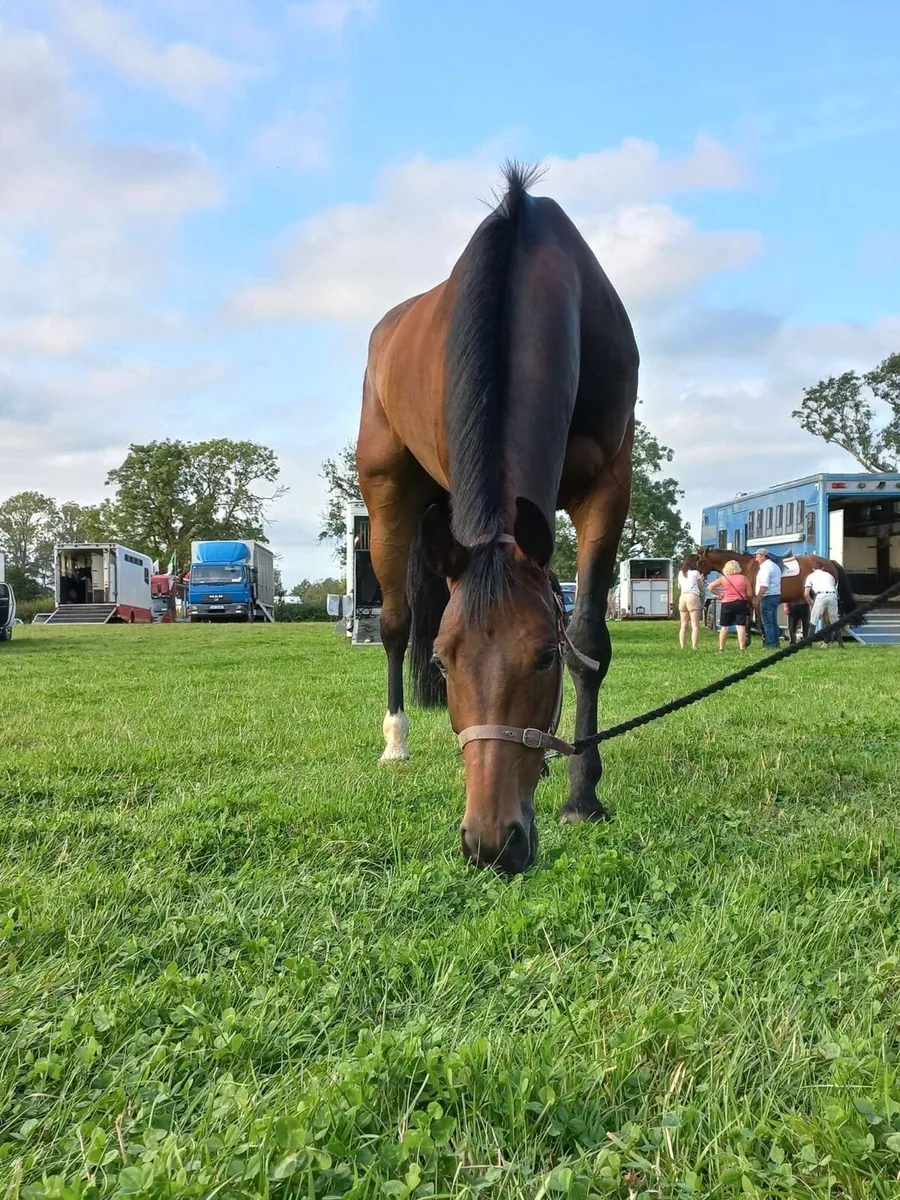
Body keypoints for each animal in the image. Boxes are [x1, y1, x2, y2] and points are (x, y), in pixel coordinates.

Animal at [356, 162, 639, 875]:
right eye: (447, 660)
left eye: (543, 657)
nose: (491, 842)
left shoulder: (610, 486)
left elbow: (589, 640)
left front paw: (583, 795)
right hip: (389, 493)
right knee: (395, 623)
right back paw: (396, 741)